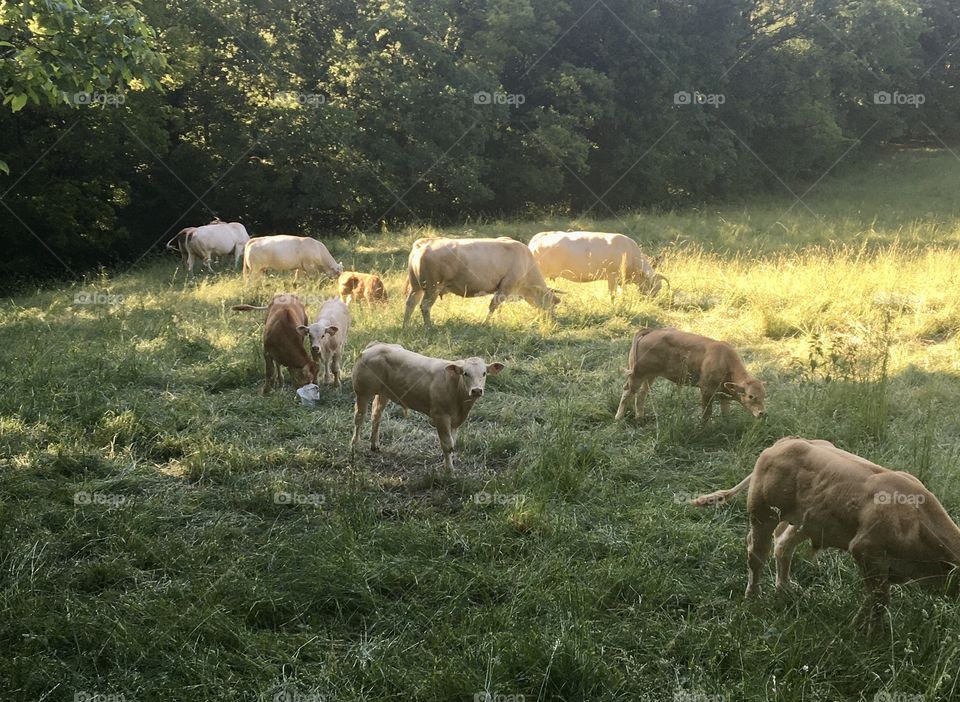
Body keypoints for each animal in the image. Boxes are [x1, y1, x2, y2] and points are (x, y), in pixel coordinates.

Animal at [350, 341, 504, 470]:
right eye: (465, 373)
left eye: (484, 373)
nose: (477, 390)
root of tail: (375, 345)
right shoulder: (441, 416)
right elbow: (447, 444)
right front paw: (449, 470)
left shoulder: (455, 420)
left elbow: (452, 443)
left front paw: (448, 463)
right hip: (362, 392)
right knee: (359, 418)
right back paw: (354, 446)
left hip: (384, 393)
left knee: (376, 415)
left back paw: (374, 445)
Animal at [403, 237, 560, 329]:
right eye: (553, 304)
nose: (554, 320)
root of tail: (425, 241)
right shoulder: (506, 286)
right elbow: (493, 305)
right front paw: (485, 323)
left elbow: (499, 307)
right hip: (432, 287)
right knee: (425, 306)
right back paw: (429, 327)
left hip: (416, 287)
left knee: (411, 303)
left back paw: (405, 326)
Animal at [615, 327, 766, 423]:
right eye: (751, 396)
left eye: (764, 396)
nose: (762, 413)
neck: (724, 360)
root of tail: (650, 331)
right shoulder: (706, 390)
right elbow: (706, 413)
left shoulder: (724, 394)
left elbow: (725, 413)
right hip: (637, 375)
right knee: (628, 392)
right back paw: (618, 418)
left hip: (650, 375)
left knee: (641, 394)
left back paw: (640, 418)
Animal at [691, 437, 960, 628]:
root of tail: (785, 442)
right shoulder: (866, 553)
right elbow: (879, 601)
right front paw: (867, 631)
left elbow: (877, 599)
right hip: (763, 514)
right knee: (756, 555)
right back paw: (753, 597)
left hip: (805, 522)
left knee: (783, 545)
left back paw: (784, 587)